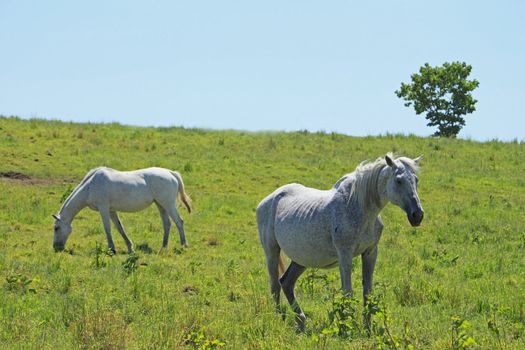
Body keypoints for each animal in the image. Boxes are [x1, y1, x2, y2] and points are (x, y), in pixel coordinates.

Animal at [52, 168, 192, 253]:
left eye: (56, 228)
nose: (56, 247)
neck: (90, 186)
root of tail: (170, 173)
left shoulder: (103, 208)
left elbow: (107, 228)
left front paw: (111, 249)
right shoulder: (111, 210)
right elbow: (119, 228)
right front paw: (130, 248)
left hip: (168, 205)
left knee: (179, 222)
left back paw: (184, 245)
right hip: (160, 205)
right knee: (167, 224)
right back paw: (163, 247)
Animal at [256, 153, 424, 328]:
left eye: (416, 180)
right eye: (398, 180)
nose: (417, 215)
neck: (360, 207)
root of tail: (268, 200)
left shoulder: (370, 252)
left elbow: (367, 291)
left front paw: (367, 327)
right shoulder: (345, 254)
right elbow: (347, 292)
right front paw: (348, 326)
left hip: (301, 258)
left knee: (286, 282)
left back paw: (300, 320)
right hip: (272, 251)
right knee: (275, 285)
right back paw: (279, 319)